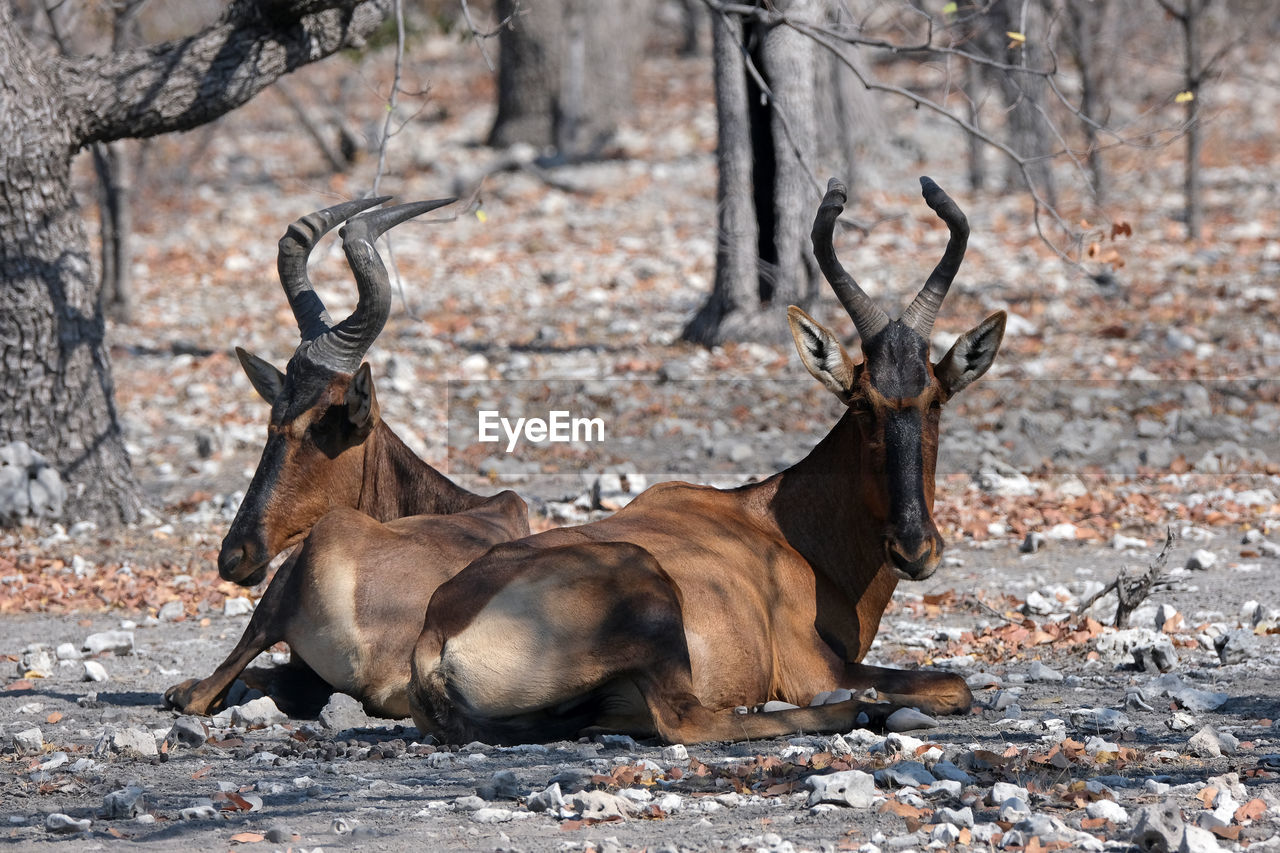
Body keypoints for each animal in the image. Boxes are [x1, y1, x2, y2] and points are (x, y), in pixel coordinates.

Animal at [409, 179, 1008, 742]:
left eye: (935, 398)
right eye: (862, 402)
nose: (914, 550)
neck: (775, 527)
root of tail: (434, 638)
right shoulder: (815, 667)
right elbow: (953, 685)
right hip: (645, 594)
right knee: (688, 721)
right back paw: (859, 711)